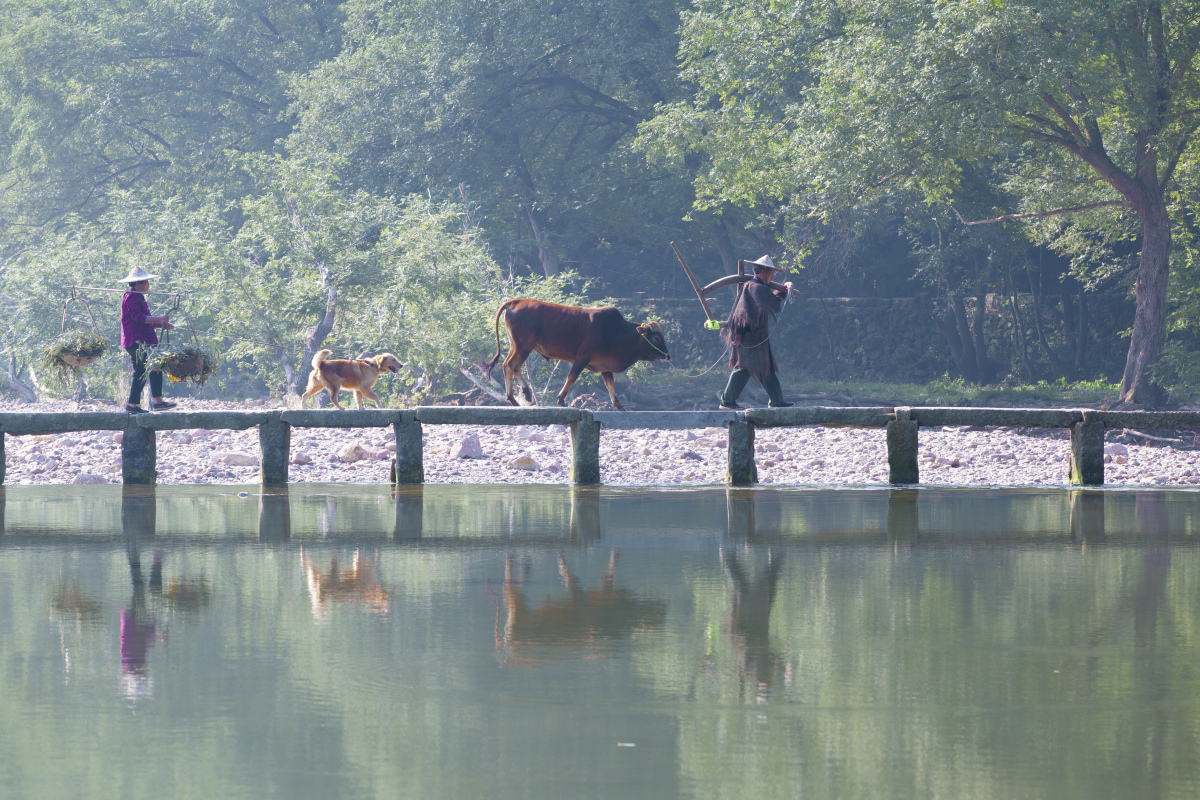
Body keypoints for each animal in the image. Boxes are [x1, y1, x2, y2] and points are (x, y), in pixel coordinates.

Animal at [482, 299, 672, 412]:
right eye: (656, 337)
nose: (668, 356)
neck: (616, 332)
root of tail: (517, 301)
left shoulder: (604, 365)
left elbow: (610, 385)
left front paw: (619, 406)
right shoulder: (582, 358)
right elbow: (572, 377)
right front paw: (560, 400)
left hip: (515, 345)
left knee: (506, 365)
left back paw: (513, 399)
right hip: (524, 346)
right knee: (513, 365)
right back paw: (524, 393)